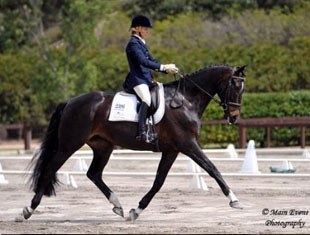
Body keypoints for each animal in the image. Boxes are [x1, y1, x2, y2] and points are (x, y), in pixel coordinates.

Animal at [18, 64, 247, 222]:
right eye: (235, 86)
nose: (234, 117)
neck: (185, 100)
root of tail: (70, 102)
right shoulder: (188, 144)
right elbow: (213, 168)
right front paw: (234, 200)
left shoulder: (172, 150)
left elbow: (158, 182)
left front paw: (135, 211)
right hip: (69, 144)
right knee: (50, 169)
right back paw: (27, 210)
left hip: (103, 146)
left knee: (94, 174)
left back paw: (118, 206)